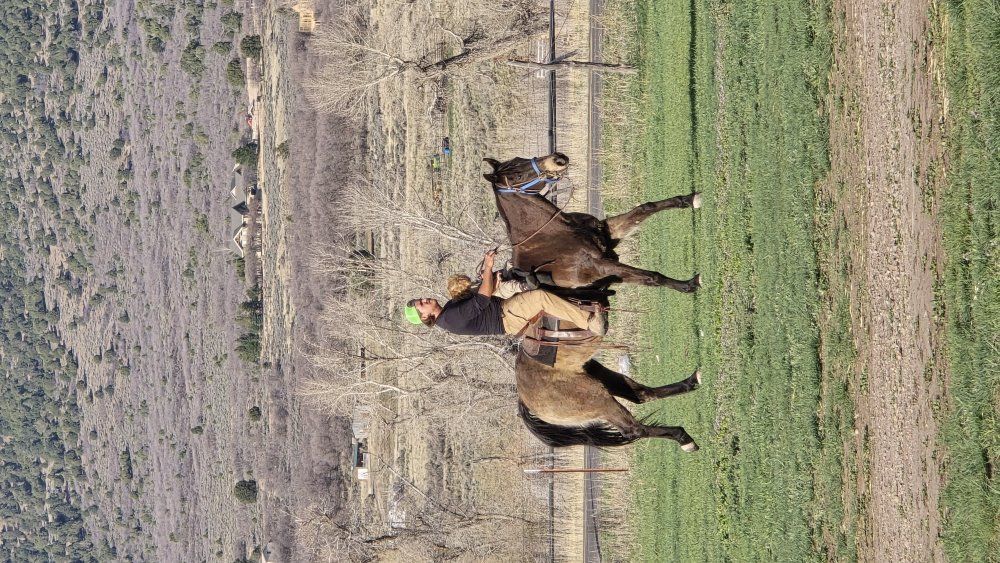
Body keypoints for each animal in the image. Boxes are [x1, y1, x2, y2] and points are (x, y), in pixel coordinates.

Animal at [484, 152, 703, 450]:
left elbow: (644, 209)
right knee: (634, 429)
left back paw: (691, 383)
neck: (554, 236)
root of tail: (525, 400)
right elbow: (652, 277)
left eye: (520, 159)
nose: (558, 159)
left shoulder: (609, 239)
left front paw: (690, 199)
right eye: (515, 175)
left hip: (599, 374)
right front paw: (689, 285)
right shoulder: (604, 267)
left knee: (640, 394)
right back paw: (683, 437)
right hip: (596, 397)